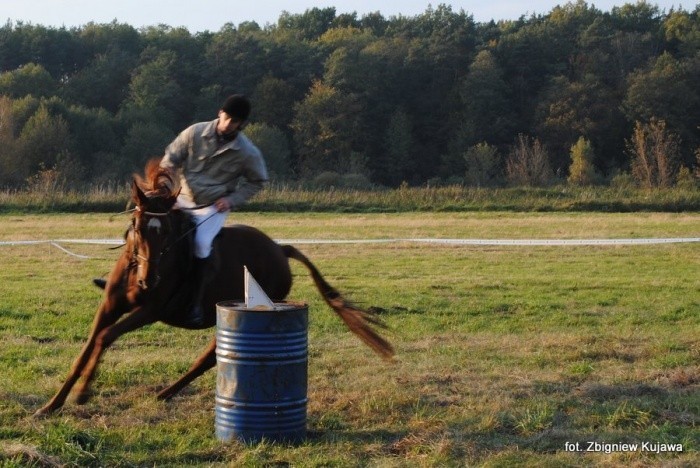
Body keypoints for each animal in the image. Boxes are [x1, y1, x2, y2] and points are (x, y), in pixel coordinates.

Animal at [34, 159, 394, 414]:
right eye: (137, 225)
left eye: (166, 231)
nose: (150, 280)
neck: (139, 269)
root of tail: (281, 249)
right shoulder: (109, 307)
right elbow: (88, 347)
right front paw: (52, 405)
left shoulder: (149, 311)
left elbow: (105, 338)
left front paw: (83, 394)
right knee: (211, 356)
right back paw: (166, 393)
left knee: (208, 358)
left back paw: (165, 392)